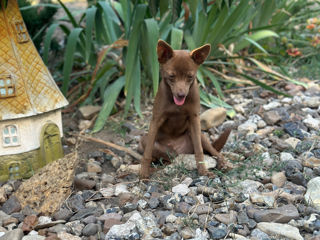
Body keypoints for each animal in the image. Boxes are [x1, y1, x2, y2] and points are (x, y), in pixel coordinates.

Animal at [139, 39, 230, 178]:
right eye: (171, 76)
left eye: (190, 77)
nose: (181, 95)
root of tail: (179, 152)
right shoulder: (156, 120)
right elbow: (147, 152)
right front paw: (144, 172)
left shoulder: (194, 119)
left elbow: (199, 150)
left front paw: (203, 171)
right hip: (145, 139)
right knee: (163, 158)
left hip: (201, 135)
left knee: (213, 150)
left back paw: (223, 163)